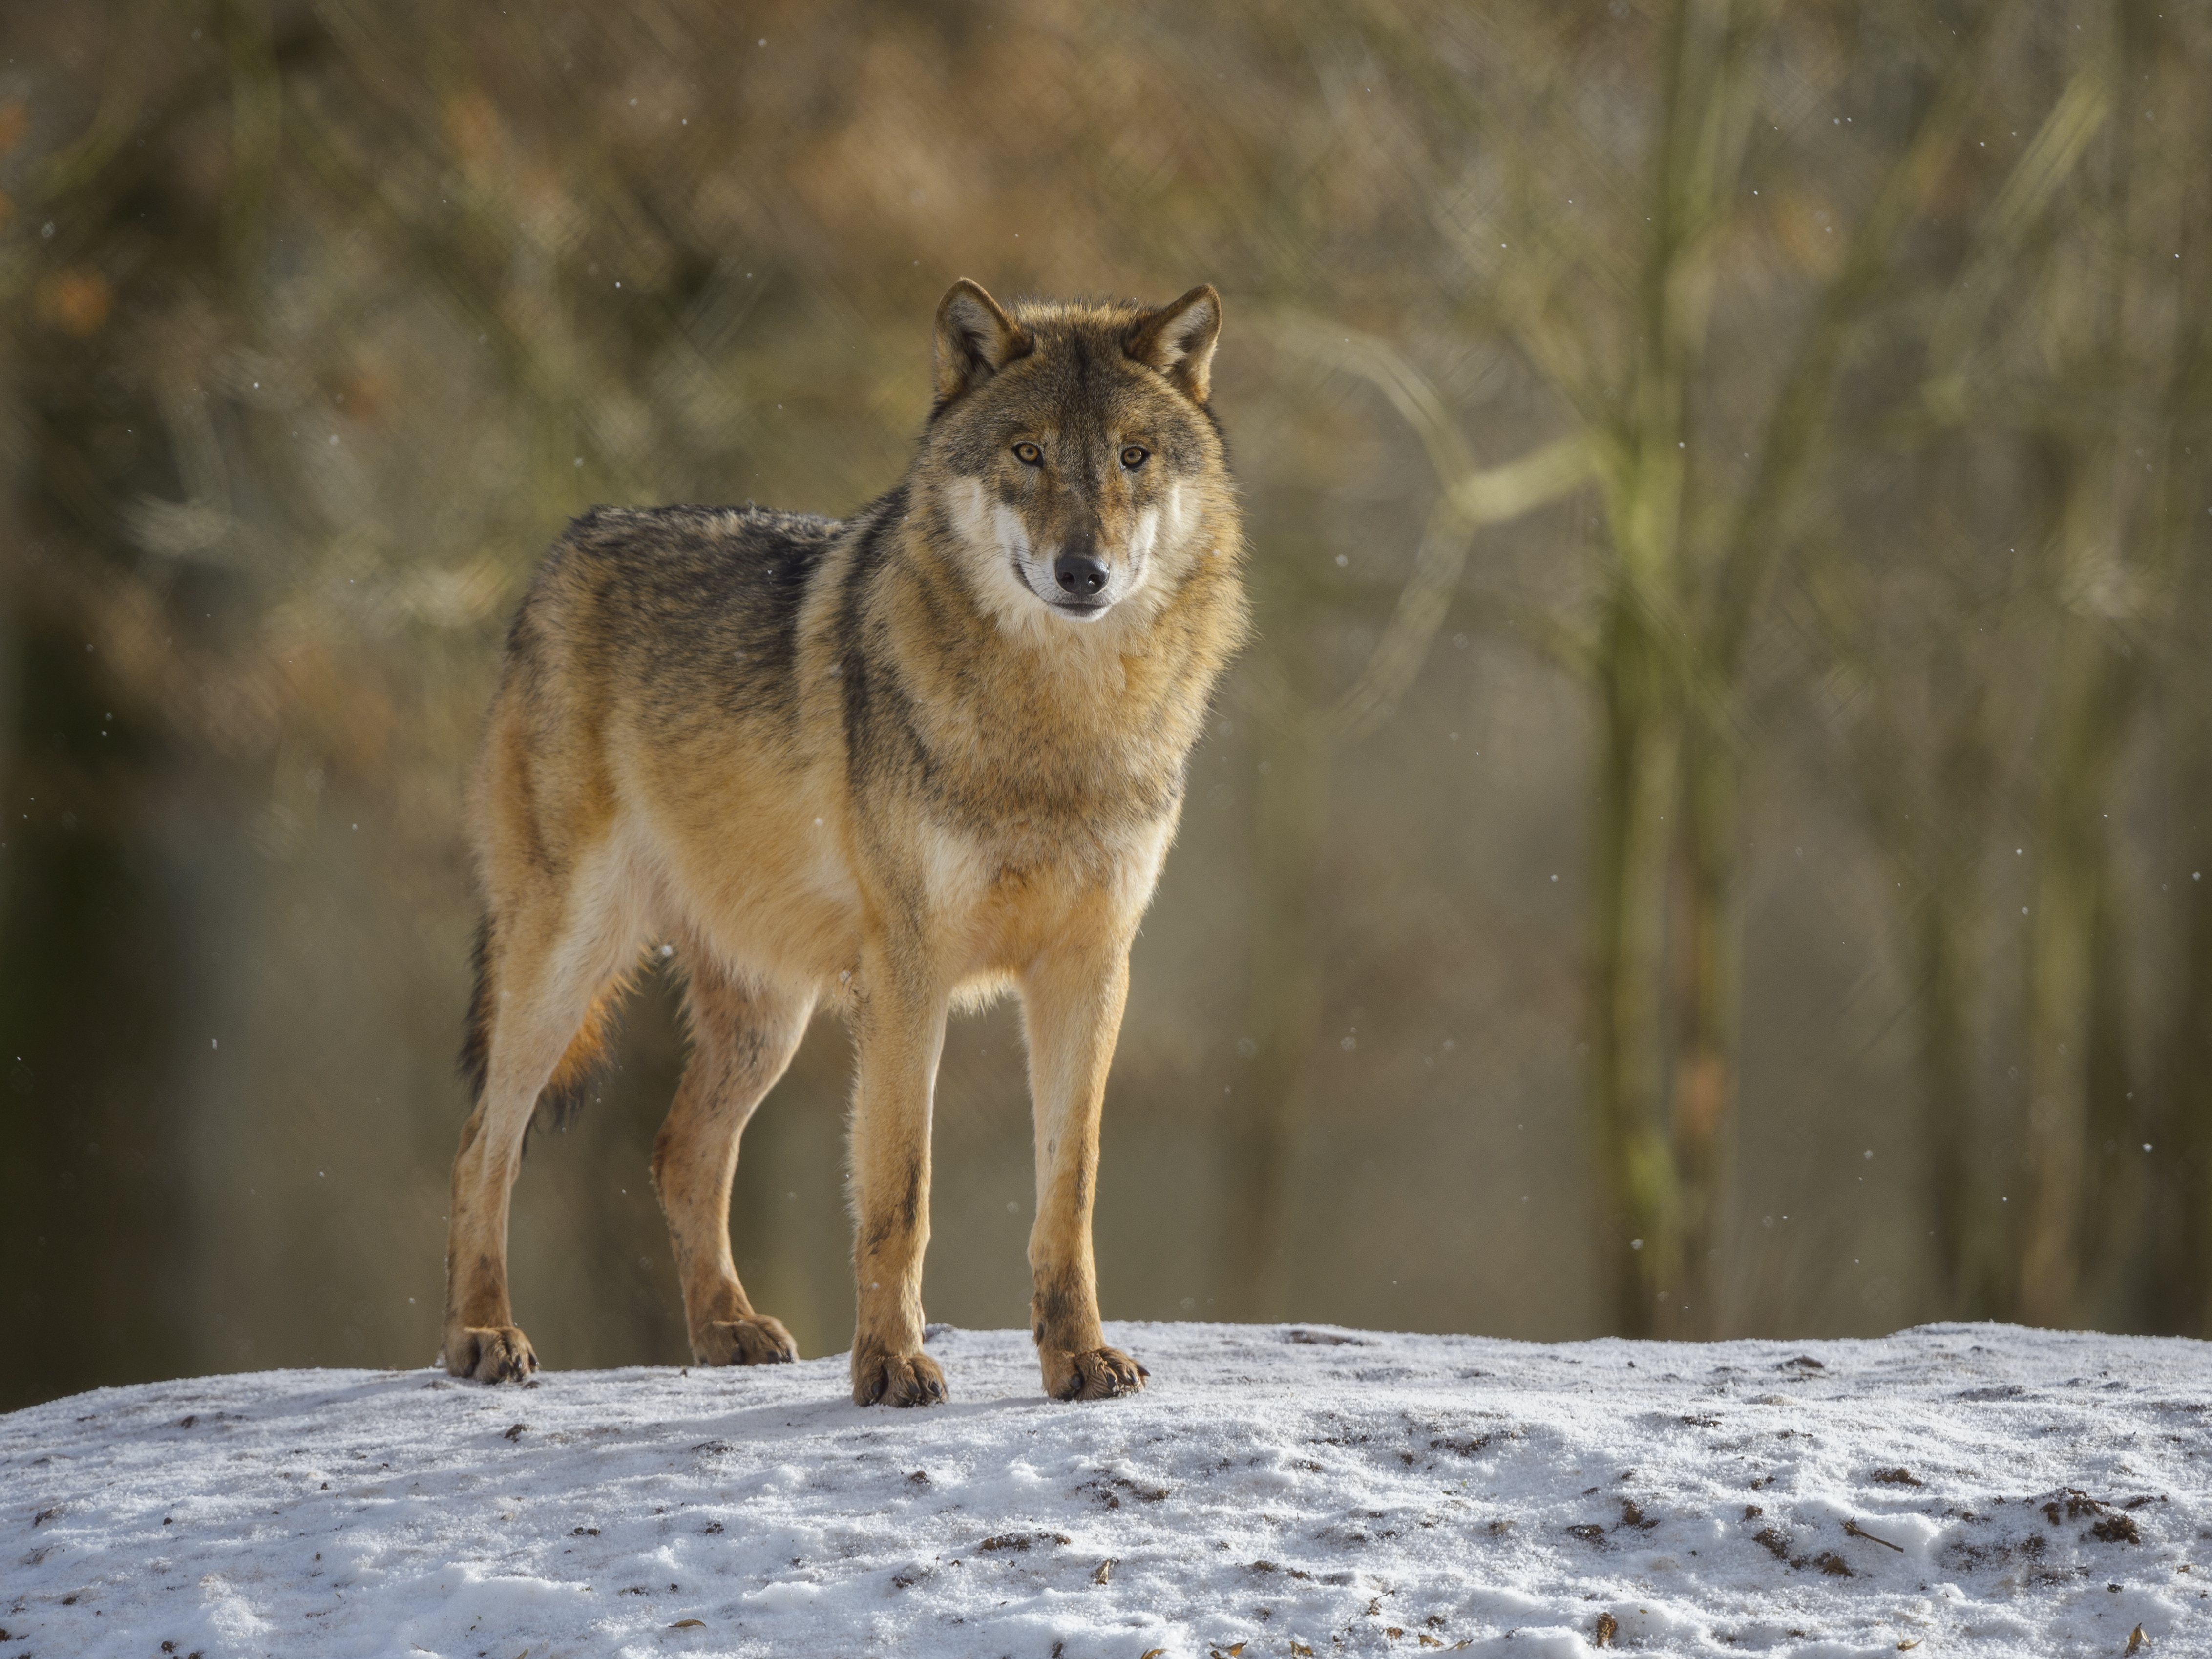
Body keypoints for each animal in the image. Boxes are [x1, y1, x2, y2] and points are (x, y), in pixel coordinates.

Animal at [439, 280, 1247, 1405]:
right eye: (1027, 452)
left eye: (1131, 456)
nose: (1081, 571)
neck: (1053, 727)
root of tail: (570, 542)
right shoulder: (907, 974)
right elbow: (898, 1191)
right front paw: (891, 1365)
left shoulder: (1089, 968)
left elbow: (1069, 1190)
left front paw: (1077, 1357)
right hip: (566, 958)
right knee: (485, 1143)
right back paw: (482, 1336)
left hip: (767, 1015)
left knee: (680, 1152)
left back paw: (725, 1329)